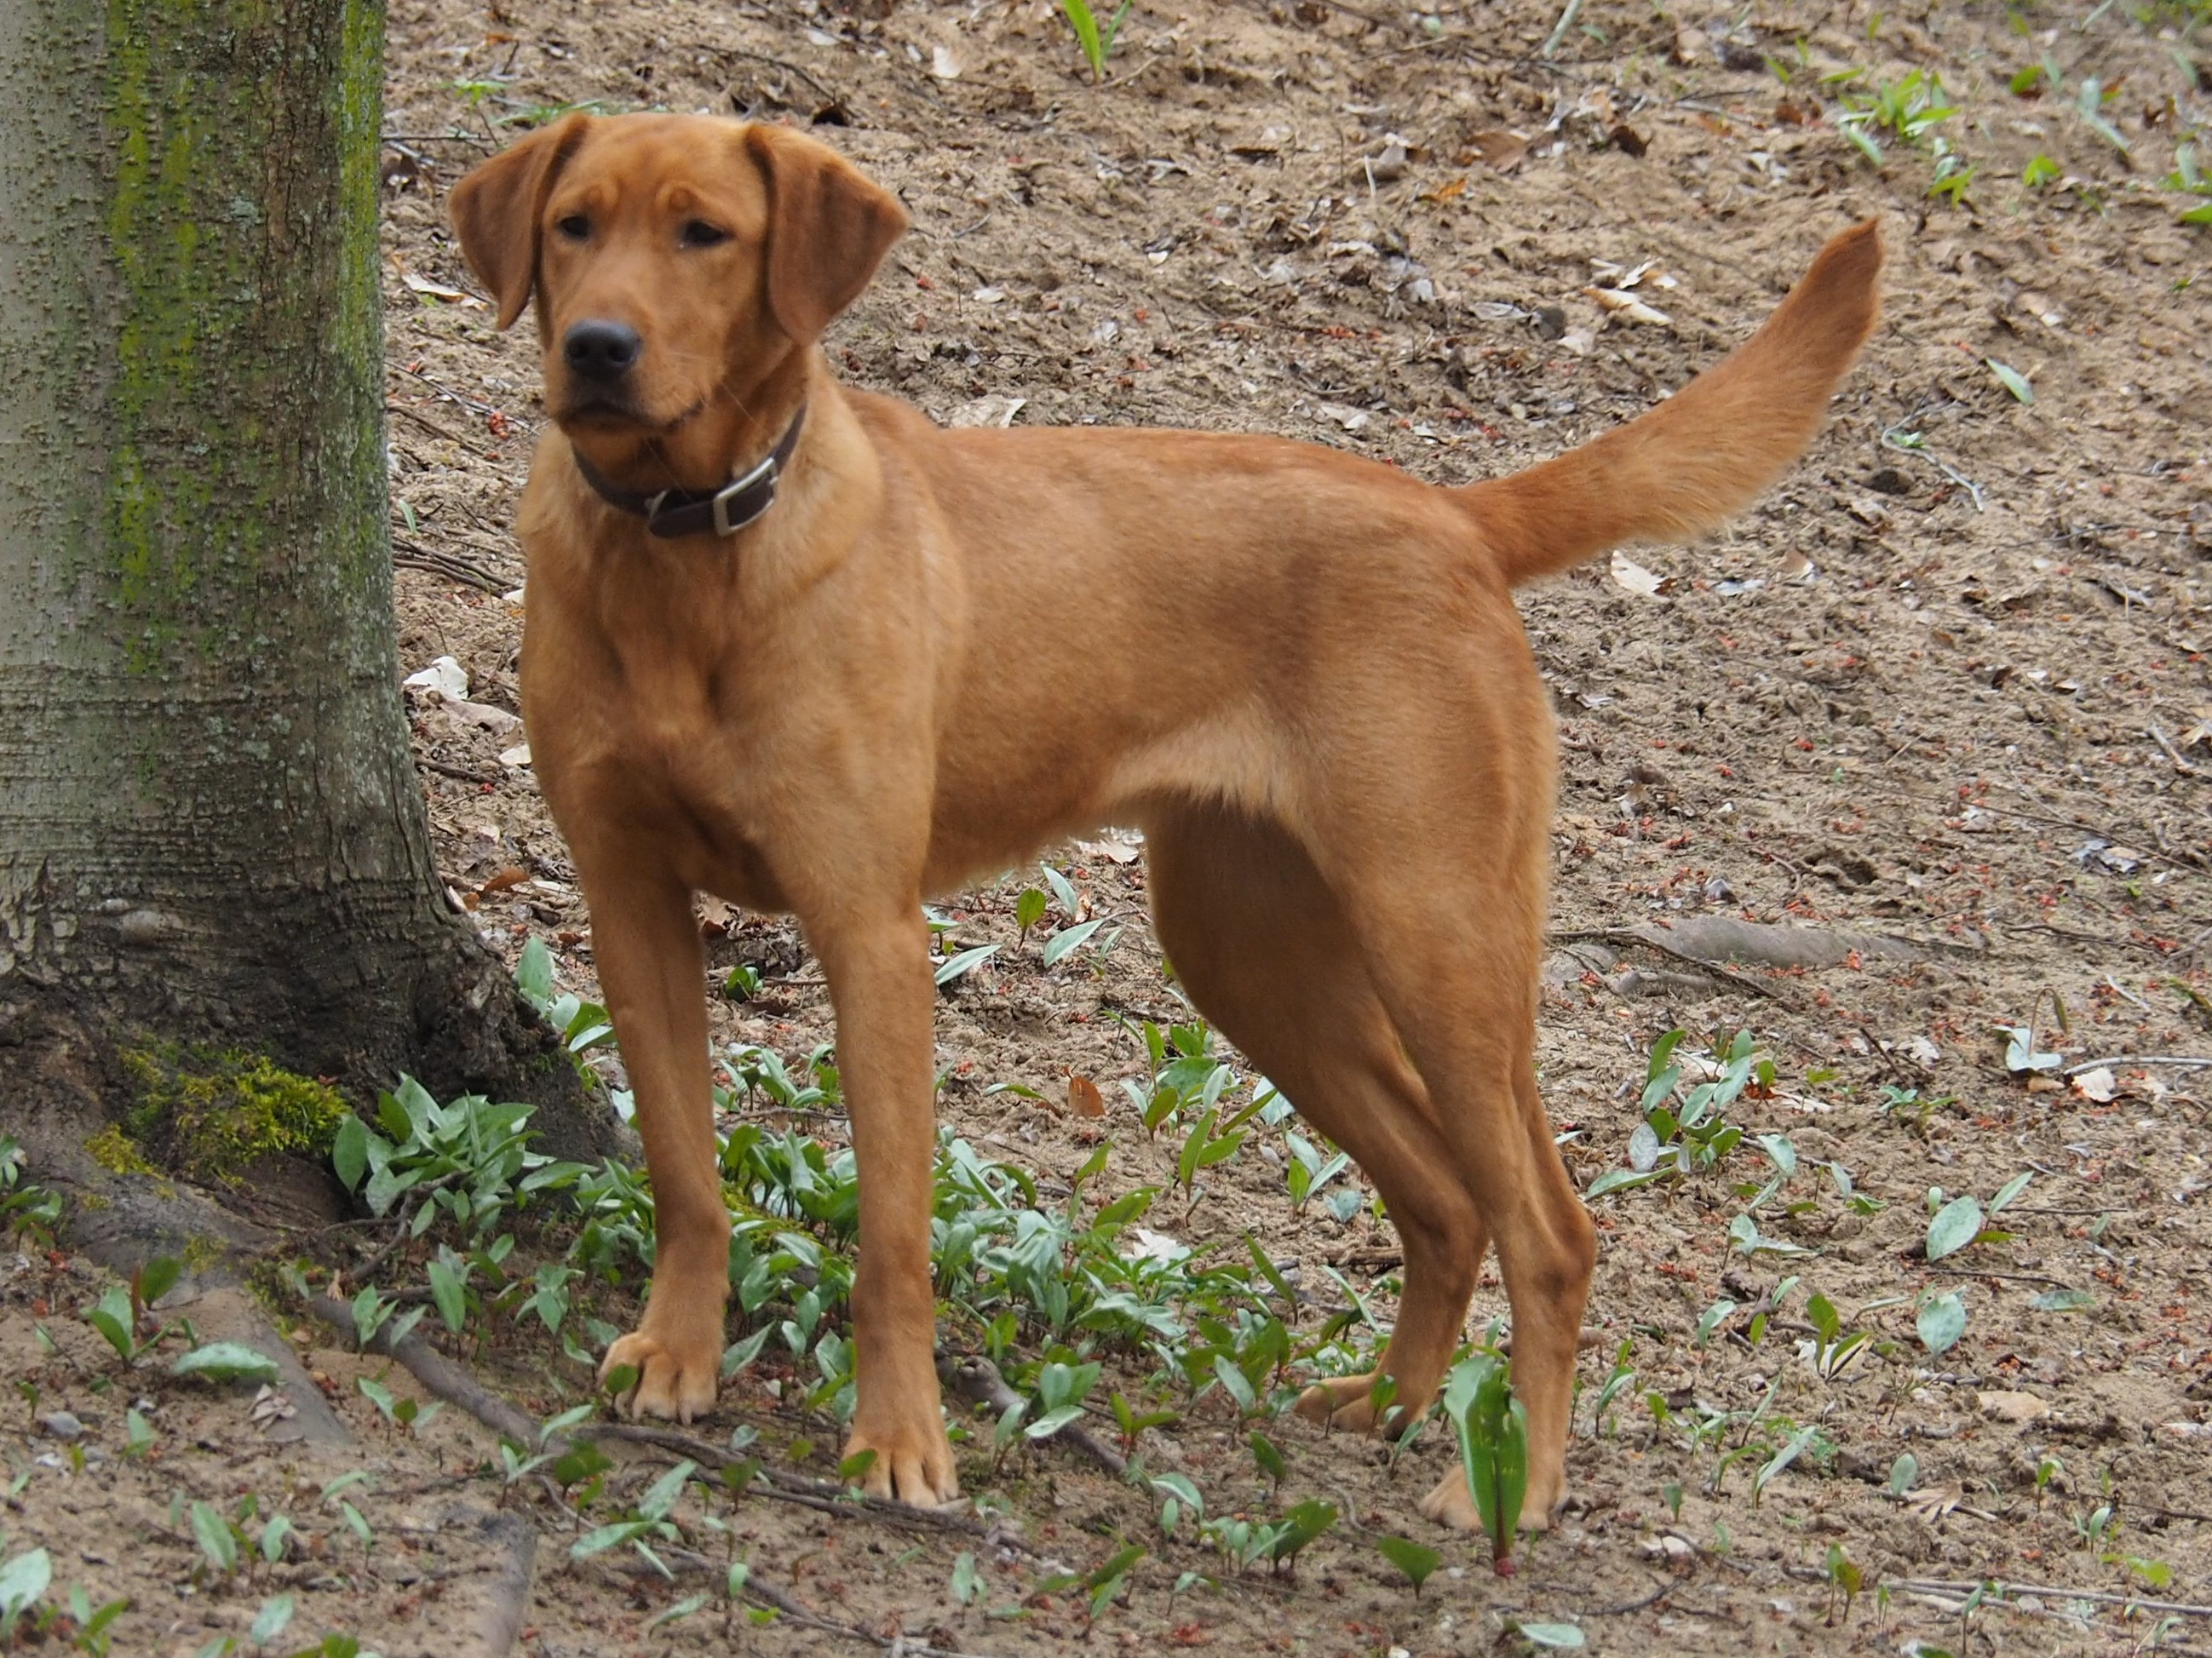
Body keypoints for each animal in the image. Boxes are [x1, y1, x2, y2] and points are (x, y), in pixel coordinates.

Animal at [453, 113, 1884, 1529]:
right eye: (575, 225)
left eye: (705, 233)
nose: (598, 346)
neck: (681, 550)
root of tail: (1453, 514)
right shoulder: (628, 899)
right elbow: (685, 1173)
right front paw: (679, 1353)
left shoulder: (871, 930)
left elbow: (893, 1237)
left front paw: (900, 1442)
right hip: (1251, 956)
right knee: (1442, 1200)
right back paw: (1392, 1399)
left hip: (1437, 940)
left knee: (1550, 1228)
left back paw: (1512, 1489)